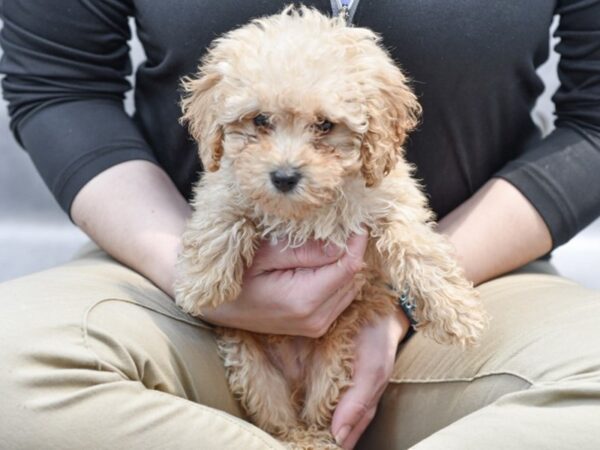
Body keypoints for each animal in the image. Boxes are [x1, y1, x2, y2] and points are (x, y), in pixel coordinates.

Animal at [175, 7, 488, 450]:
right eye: (260, 120)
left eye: (325, 125)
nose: (284, 176)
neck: (307, 210)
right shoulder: (225, 179)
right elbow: (225, 210)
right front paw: (202, 281)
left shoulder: (389, 196)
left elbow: (415, 243)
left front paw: (456, 310)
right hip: (253, 367)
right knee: (277, 419)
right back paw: (298, 438)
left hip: (335, 359)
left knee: (319, 409)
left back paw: (318, 437)